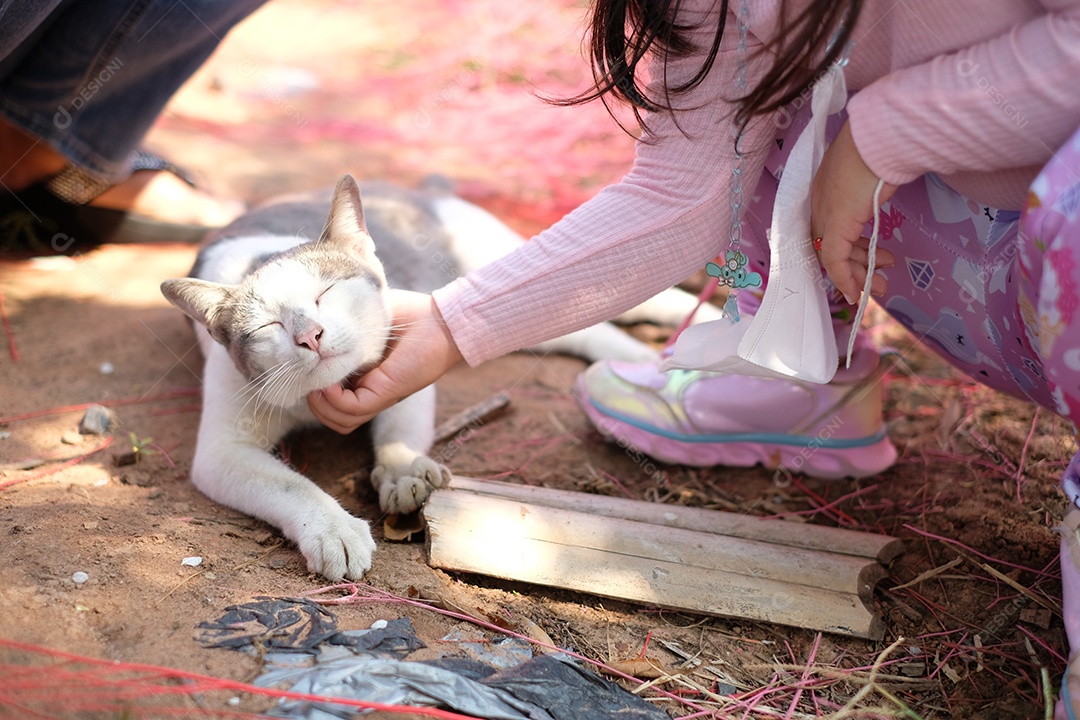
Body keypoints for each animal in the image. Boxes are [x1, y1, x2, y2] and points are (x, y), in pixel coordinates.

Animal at [159, 172, 721, 578]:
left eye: (326, 293)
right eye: (269, 326)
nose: (310, 336)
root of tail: (420, 188)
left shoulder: (402, 355)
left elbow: (399, 429)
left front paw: (403, 471)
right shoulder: (222, 450)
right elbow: (289, 485)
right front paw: (334, 529)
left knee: (613, 294)